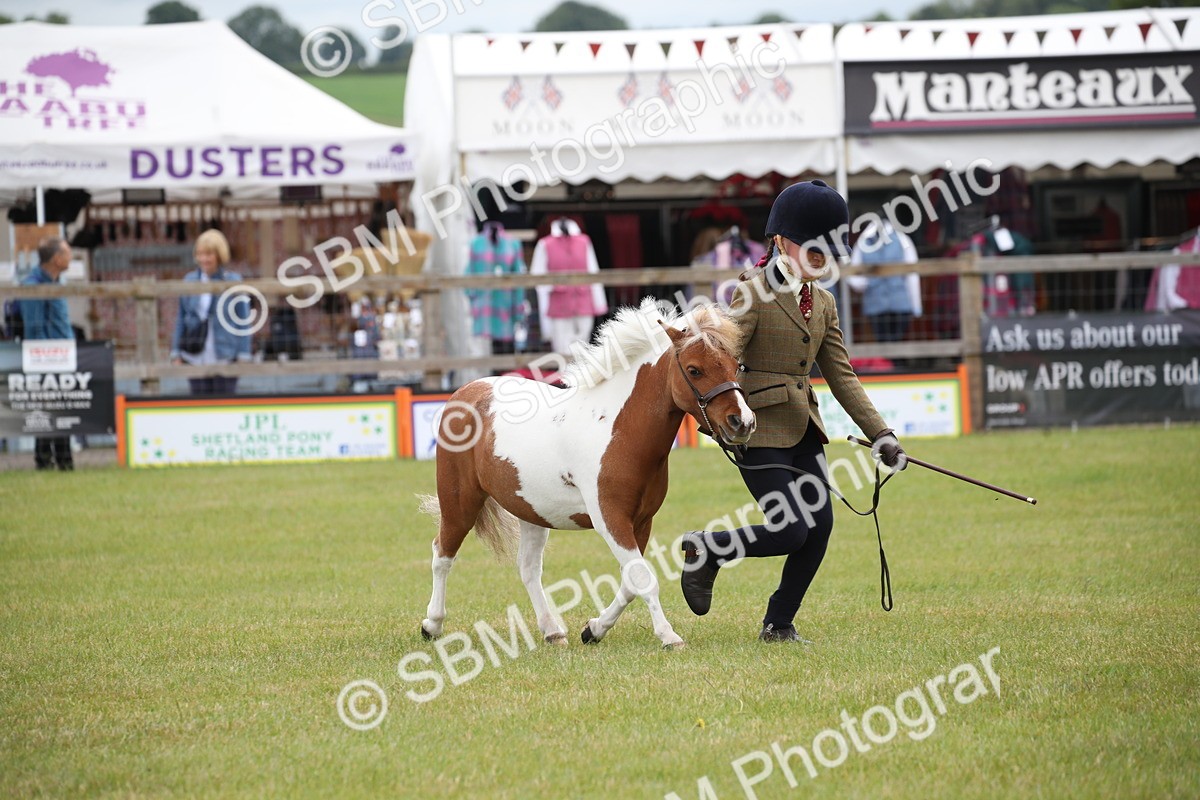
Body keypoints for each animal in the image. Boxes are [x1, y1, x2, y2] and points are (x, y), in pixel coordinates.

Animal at [417, 298, 755, 649]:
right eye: (694, 370)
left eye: (735, 365)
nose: (742, 423)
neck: (618, 430)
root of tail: (466, 392)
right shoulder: (611, 520)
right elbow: (643, 578)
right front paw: (668, 636)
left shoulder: (641, 522)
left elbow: (630, 582)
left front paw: (594, 629)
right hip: (459, 502)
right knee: (442, 554)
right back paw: (432, 624)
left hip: (531, 511)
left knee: (528, 568)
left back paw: (552, 631)